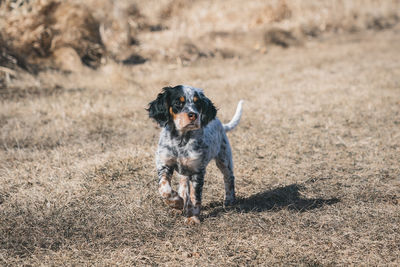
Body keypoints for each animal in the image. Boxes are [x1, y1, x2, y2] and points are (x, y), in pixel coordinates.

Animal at [146, 85, 242, 225]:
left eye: (198, 103)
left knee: (229, 178)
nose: (193, 115)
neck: (181, 141)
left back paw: (229, 200)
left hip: (224, 158)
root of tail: (220, 123)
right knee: (183, 183)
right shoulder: (164, 164)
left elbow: (195, 196)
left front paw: (192, 217)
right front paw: (177, 203)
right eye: (178, 103)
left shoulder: (197, 170)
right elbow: (164, 189)